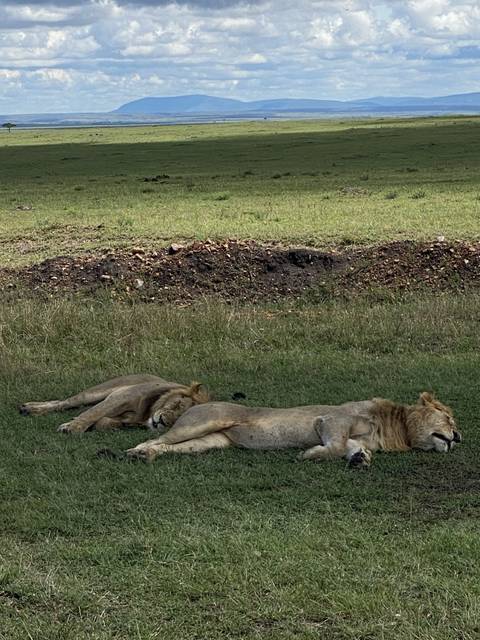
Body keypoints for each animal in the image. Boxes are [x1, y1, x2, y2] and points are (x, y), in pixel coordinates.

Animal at [20, 374, 209, 434]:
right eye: (176, 404)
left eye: (178, 420)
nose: (162, 421)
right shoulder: (121, 397)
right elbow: (94, 413)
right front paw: (73, 428)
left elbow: (104, 422)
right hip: (94, 393)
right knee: (64, 402)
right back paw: (30, 408)